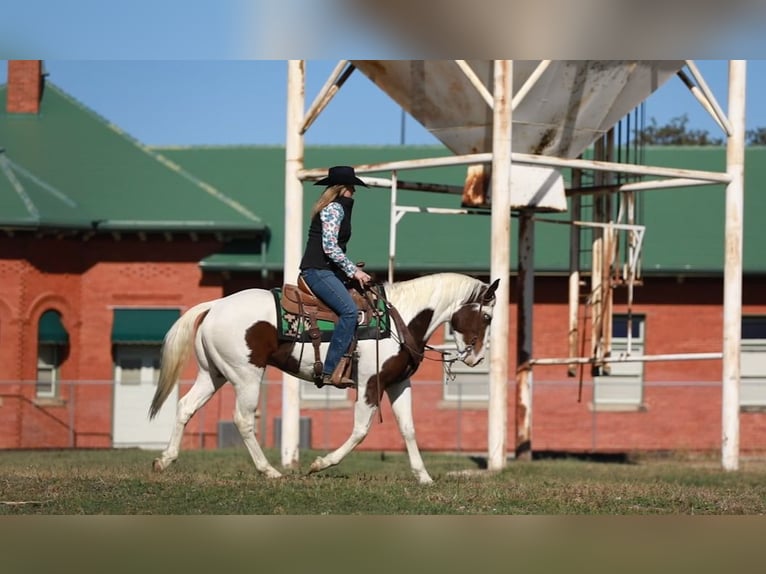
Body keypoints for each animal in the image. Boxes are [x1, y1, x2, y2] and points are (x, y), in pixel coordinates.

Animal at [150, 274, 500, 486]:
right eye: (487, 317)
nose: (476, 358)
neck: (398, 322)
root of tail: (215, 305)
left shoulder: (399, 384)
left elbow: (409, 429)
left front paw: (423, 477)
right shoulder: (370, 384)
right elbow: (360, 430)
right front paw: (321, 463)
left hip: (214, 374)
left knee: (185, 407)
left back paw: (165, 461)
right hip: (246, 376)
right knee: (243, 419)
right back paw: (270, 471)